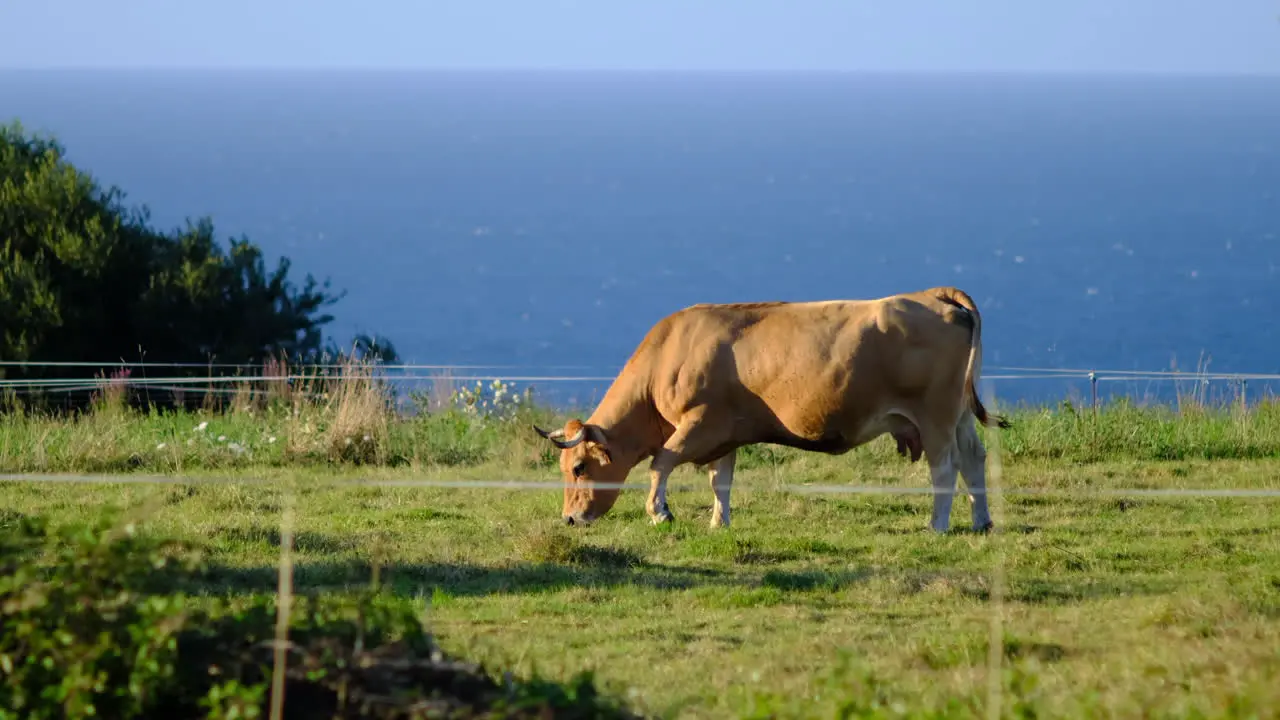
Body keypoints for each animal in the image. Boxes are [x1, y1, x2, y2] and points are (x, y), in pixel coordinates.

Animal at [529, 283, 1008, 530]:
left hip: (935, 416)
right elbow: (719, 481)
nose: (569, 519)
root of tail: (934, 294)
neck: (667, 355)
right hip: (958, 415)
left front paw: (659, 511)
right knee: (974, 458)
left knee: (944, 467)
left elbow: (660, 463)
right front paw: (718, 523)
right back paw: (981, 520)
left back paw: (938, 525)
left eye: (579, 468)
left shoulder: (699, 422)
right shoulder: (724, 434)